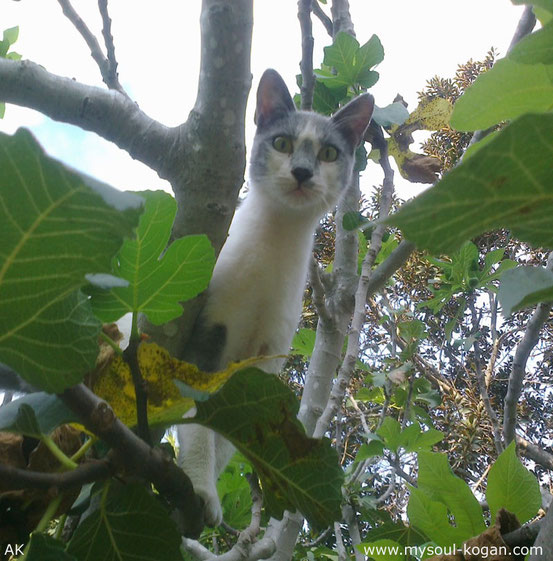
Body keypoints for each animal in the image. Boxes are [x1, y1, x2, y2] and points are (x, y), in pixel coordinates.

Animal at [179, 69, 374, 524]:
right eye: (282, 143)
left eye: (328, 153)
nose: (302, 171)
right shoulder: (207, 332)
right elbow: (199, 417)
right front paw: (199, 489)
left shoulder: (264, 360)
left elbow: (229, 432)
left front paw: (205, 487)